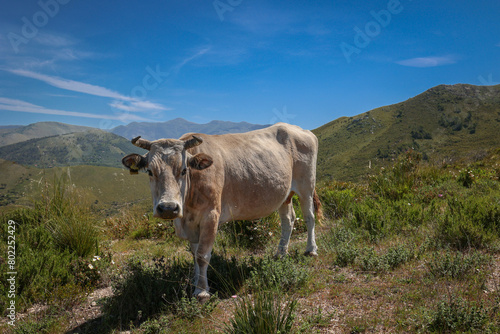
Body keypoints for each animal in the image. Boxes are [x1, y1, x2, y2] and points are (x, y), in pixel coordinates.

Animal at [123, 124, 322, 302]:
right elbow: (194, 254)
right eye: (150, 171)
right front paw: (195, 283)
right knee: (288, 220)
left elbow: (202, 255)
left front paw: (202, 292)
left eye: (184, 170)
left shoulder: (211, 215)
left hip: (307, 185)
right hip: (284, 193)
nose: (168, 208)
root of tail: (300, 129)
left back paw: (311, 249)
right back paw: (280, 254)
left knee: (309, 217)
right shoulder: (191, 224)